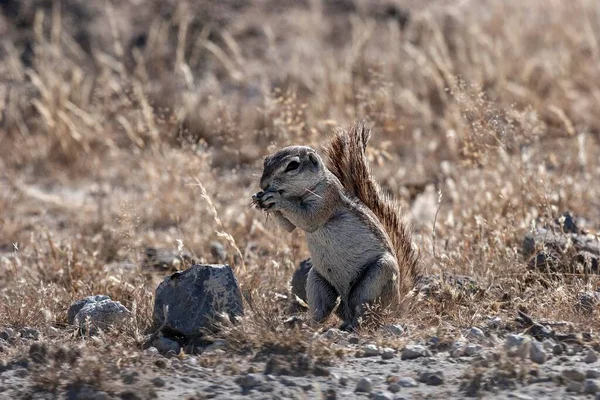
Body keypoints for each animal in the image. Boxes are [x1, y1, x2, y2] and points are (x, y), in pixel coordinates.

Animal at [252, 122, 418, 332]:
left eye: (292, 165)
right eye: (266, 161)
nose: (263, 184)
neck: (301, 194)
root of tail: (399, 304)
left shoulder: (327, 198)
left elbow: (308, 219)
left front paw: (276, 199)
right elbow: (288, 227)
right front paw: (258, 198)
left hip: (378, 276)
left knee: (366, 312)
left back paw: (355, 325)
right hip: (317, 281)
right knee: (322, 311)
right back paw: (301, 322)